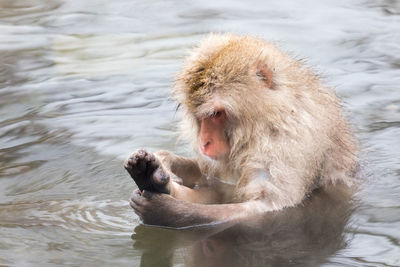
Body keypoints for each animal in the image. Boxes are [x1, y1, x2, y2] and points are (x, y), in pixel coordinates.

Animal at [124, 31, 356, 228]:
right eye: (200, 115)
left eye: (216, 114)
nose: (203, 142)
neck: (267, 122)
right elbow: (213, 181)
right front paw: (164, 166)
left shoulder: (289, 146)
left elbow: (269, 208)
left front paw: (169, 211)